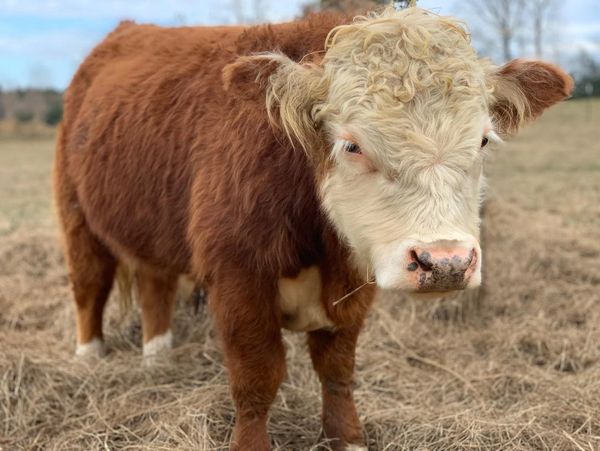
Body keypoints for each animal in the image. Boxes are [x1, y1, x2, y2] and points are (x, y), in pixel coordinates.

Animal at [55, 7, 572, 451]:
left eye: (483, 140)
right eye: (352, 146)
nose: (444, 262)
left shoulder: (353, 286)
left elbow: (337, 370)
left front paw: (349, 439)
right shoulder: (239, 280)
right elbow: (256, 380)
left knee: (154, 285)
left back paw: (157, 356)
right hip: (76, 219)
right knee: (89, 287)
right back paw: (87, 359)